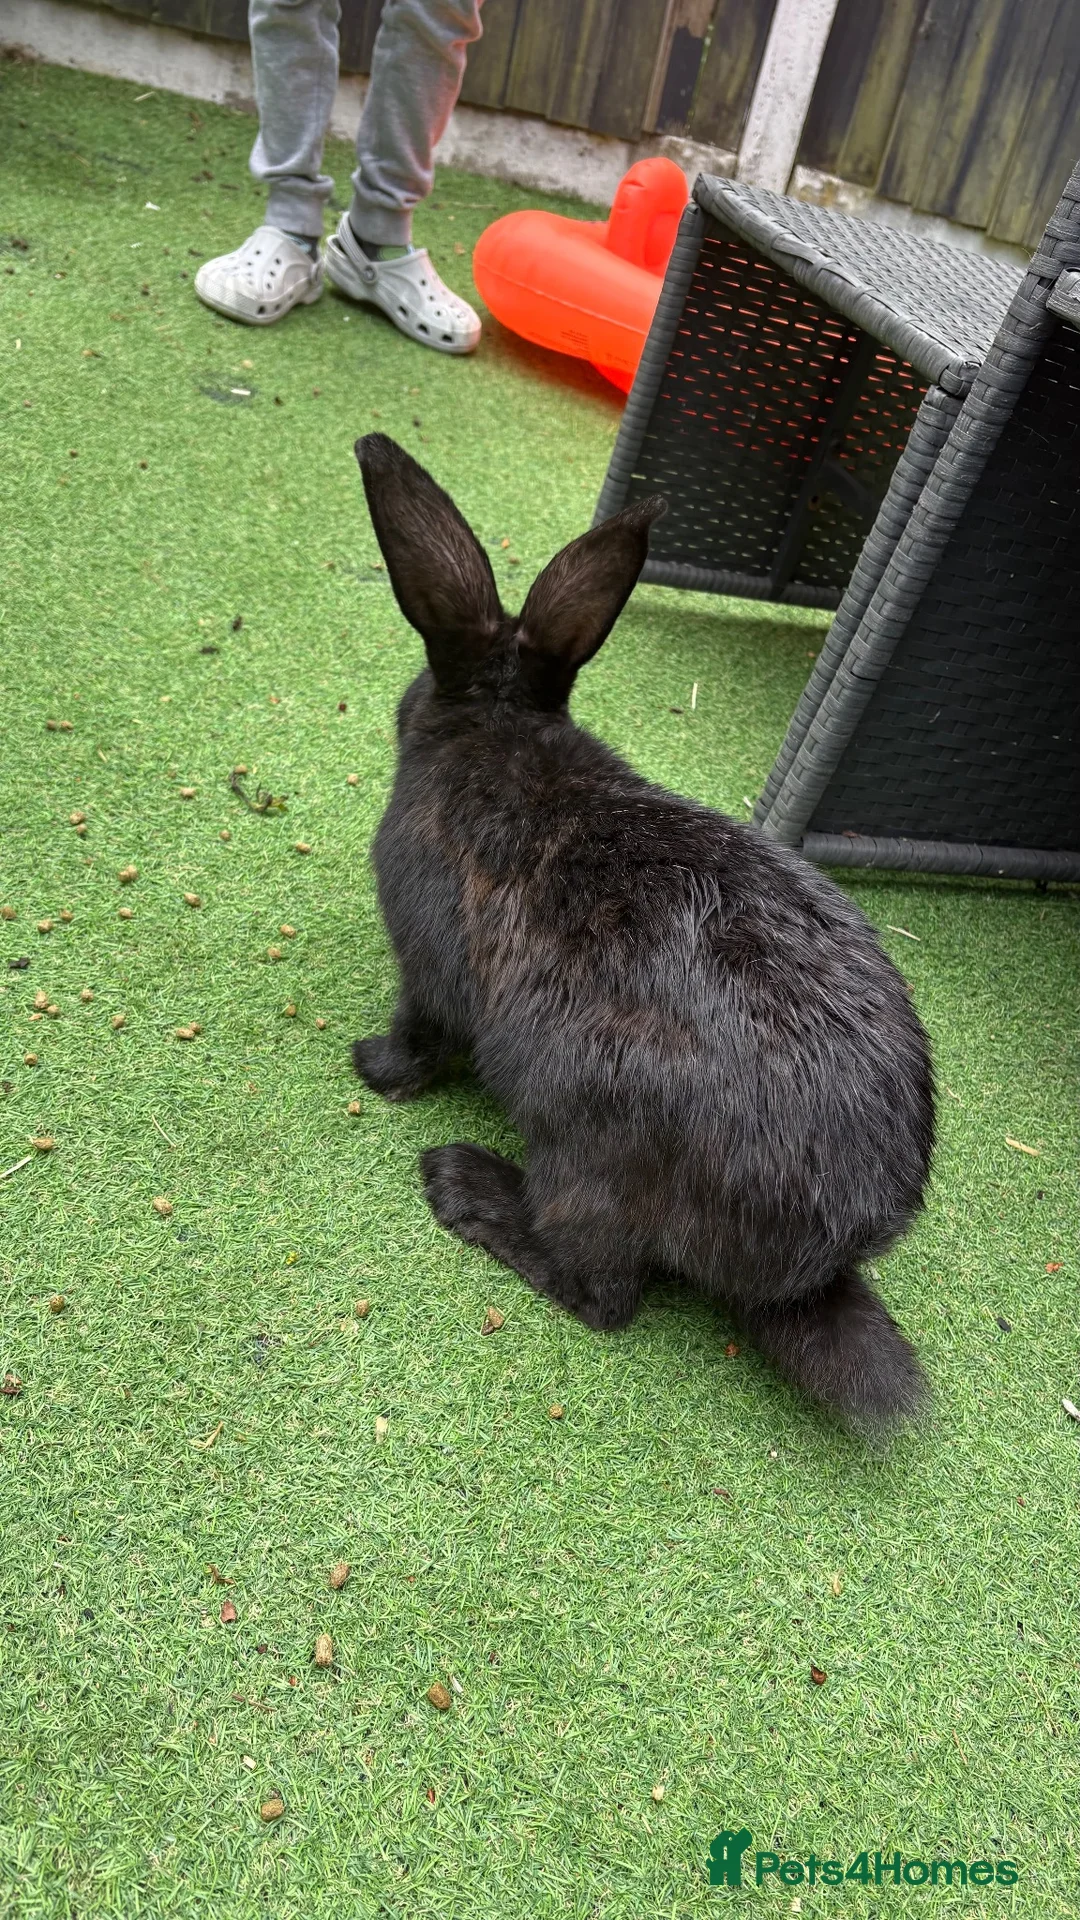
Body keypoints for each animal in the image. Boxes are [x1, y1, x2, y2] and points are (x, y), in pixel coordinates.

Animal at [351, 433, 936, 1429]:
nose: (401, 701)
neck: (496, 730)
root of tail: (816, 1265)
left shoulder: (427, 970)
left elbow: (419, 1038)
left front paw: (370, 1069)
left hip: (585, 1142)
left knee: (605, 1296)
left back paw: (465, 1186)